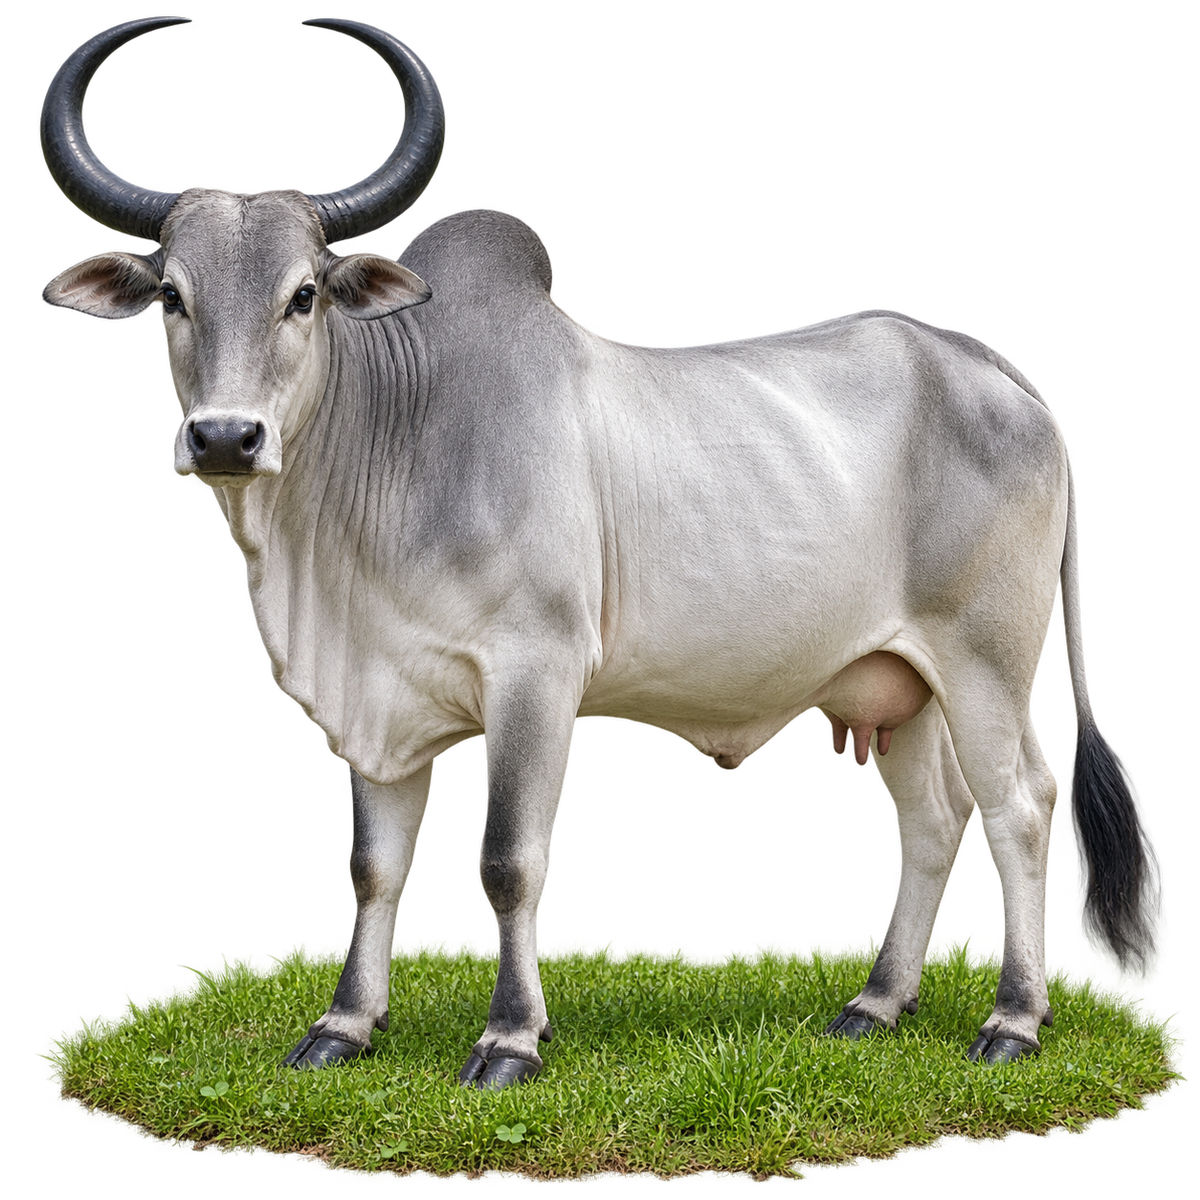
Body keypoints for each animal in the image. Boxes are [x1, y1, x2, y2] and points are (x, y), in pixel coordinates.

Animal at [39, 15, 1165, 1089]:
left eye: (304, 294)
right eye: (173, 296)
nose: (225, 437)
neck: (396, 447)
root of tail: (1008, 380)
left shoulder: (536, 674)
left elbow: (506, 860)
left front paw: (510, 1040)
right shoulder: (379, 702)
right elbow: (374, 866)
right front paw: (344, 1025)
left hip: (985, 664)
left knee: (1020, 812)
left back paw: (1013, 1020)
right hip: (902, 685)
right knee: (933, 826)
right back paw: (877, 1005)